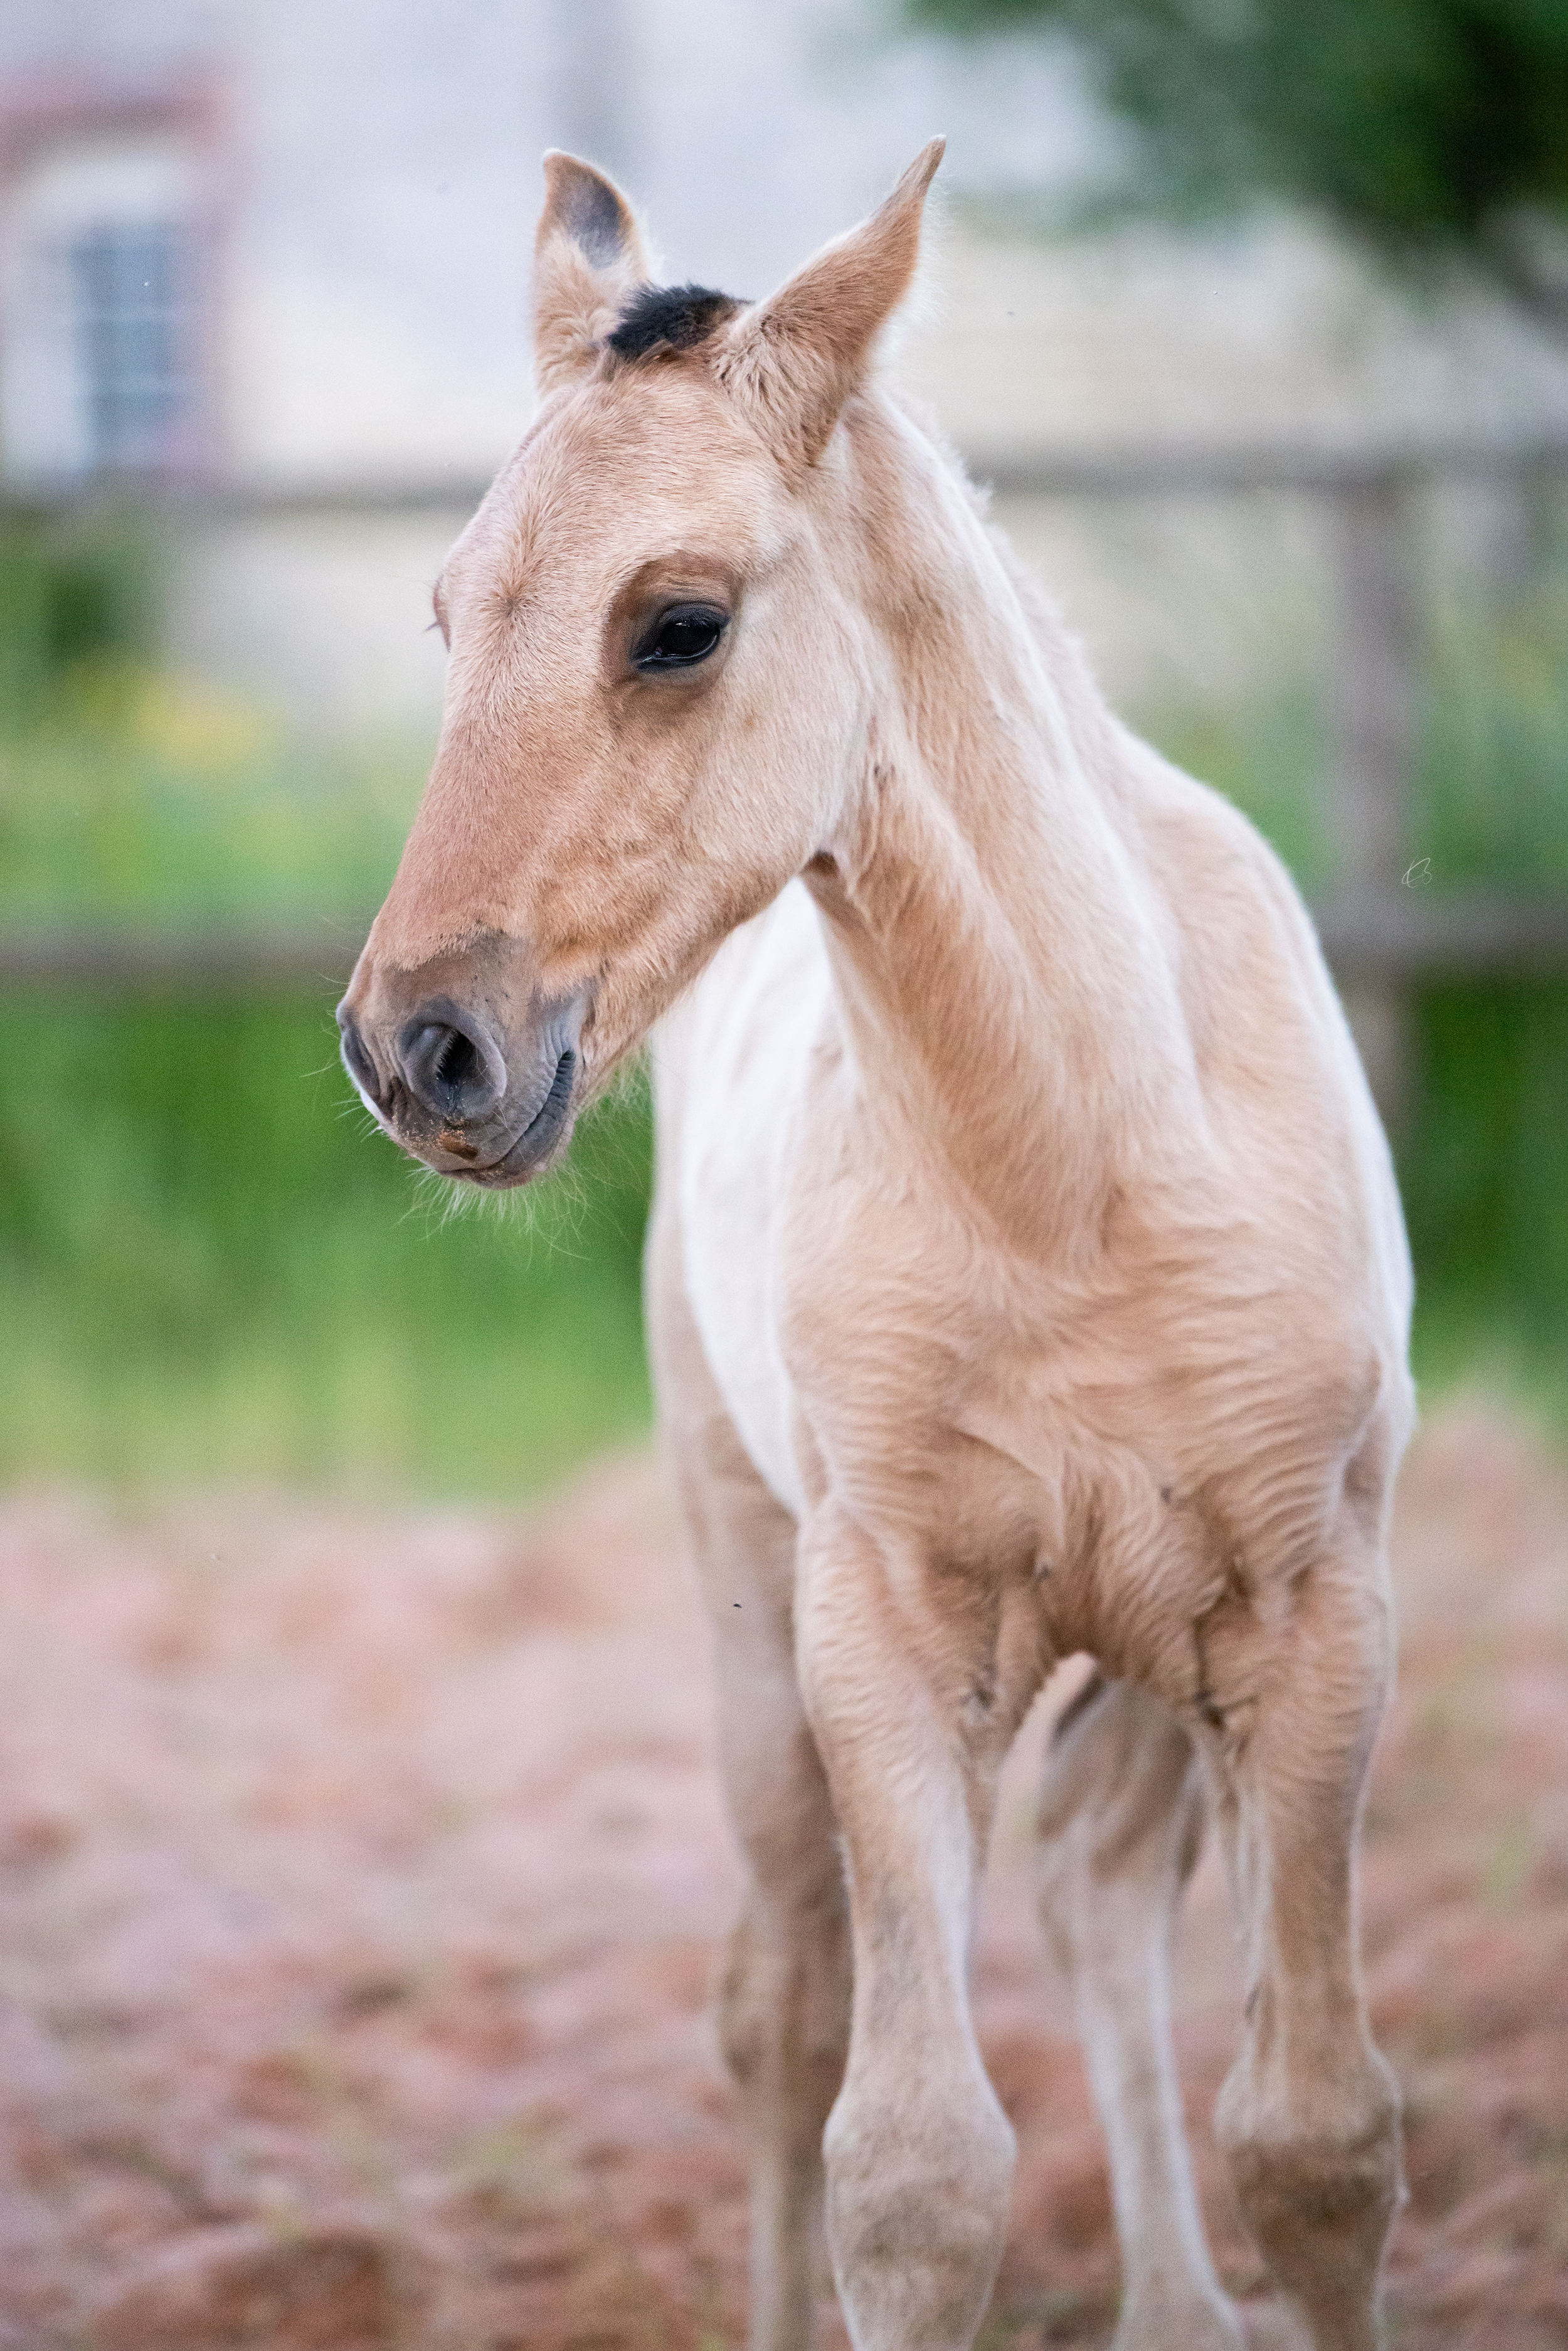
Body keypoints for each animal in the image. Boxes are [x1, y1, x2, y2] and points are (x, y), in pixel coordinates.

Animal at [338, 142, 1419, 2351]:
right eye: (447, 611)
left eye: (675, 624)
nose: (421, 1048)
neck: (1079, 1157)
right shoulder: (886, 1637)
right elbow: (911, 2170)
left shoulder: (1314, 1614)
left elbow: (1315, 2138)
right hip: (752, 1616)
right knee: (787, 2002)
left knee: (1096, 1894)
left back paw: (1179, 2309)